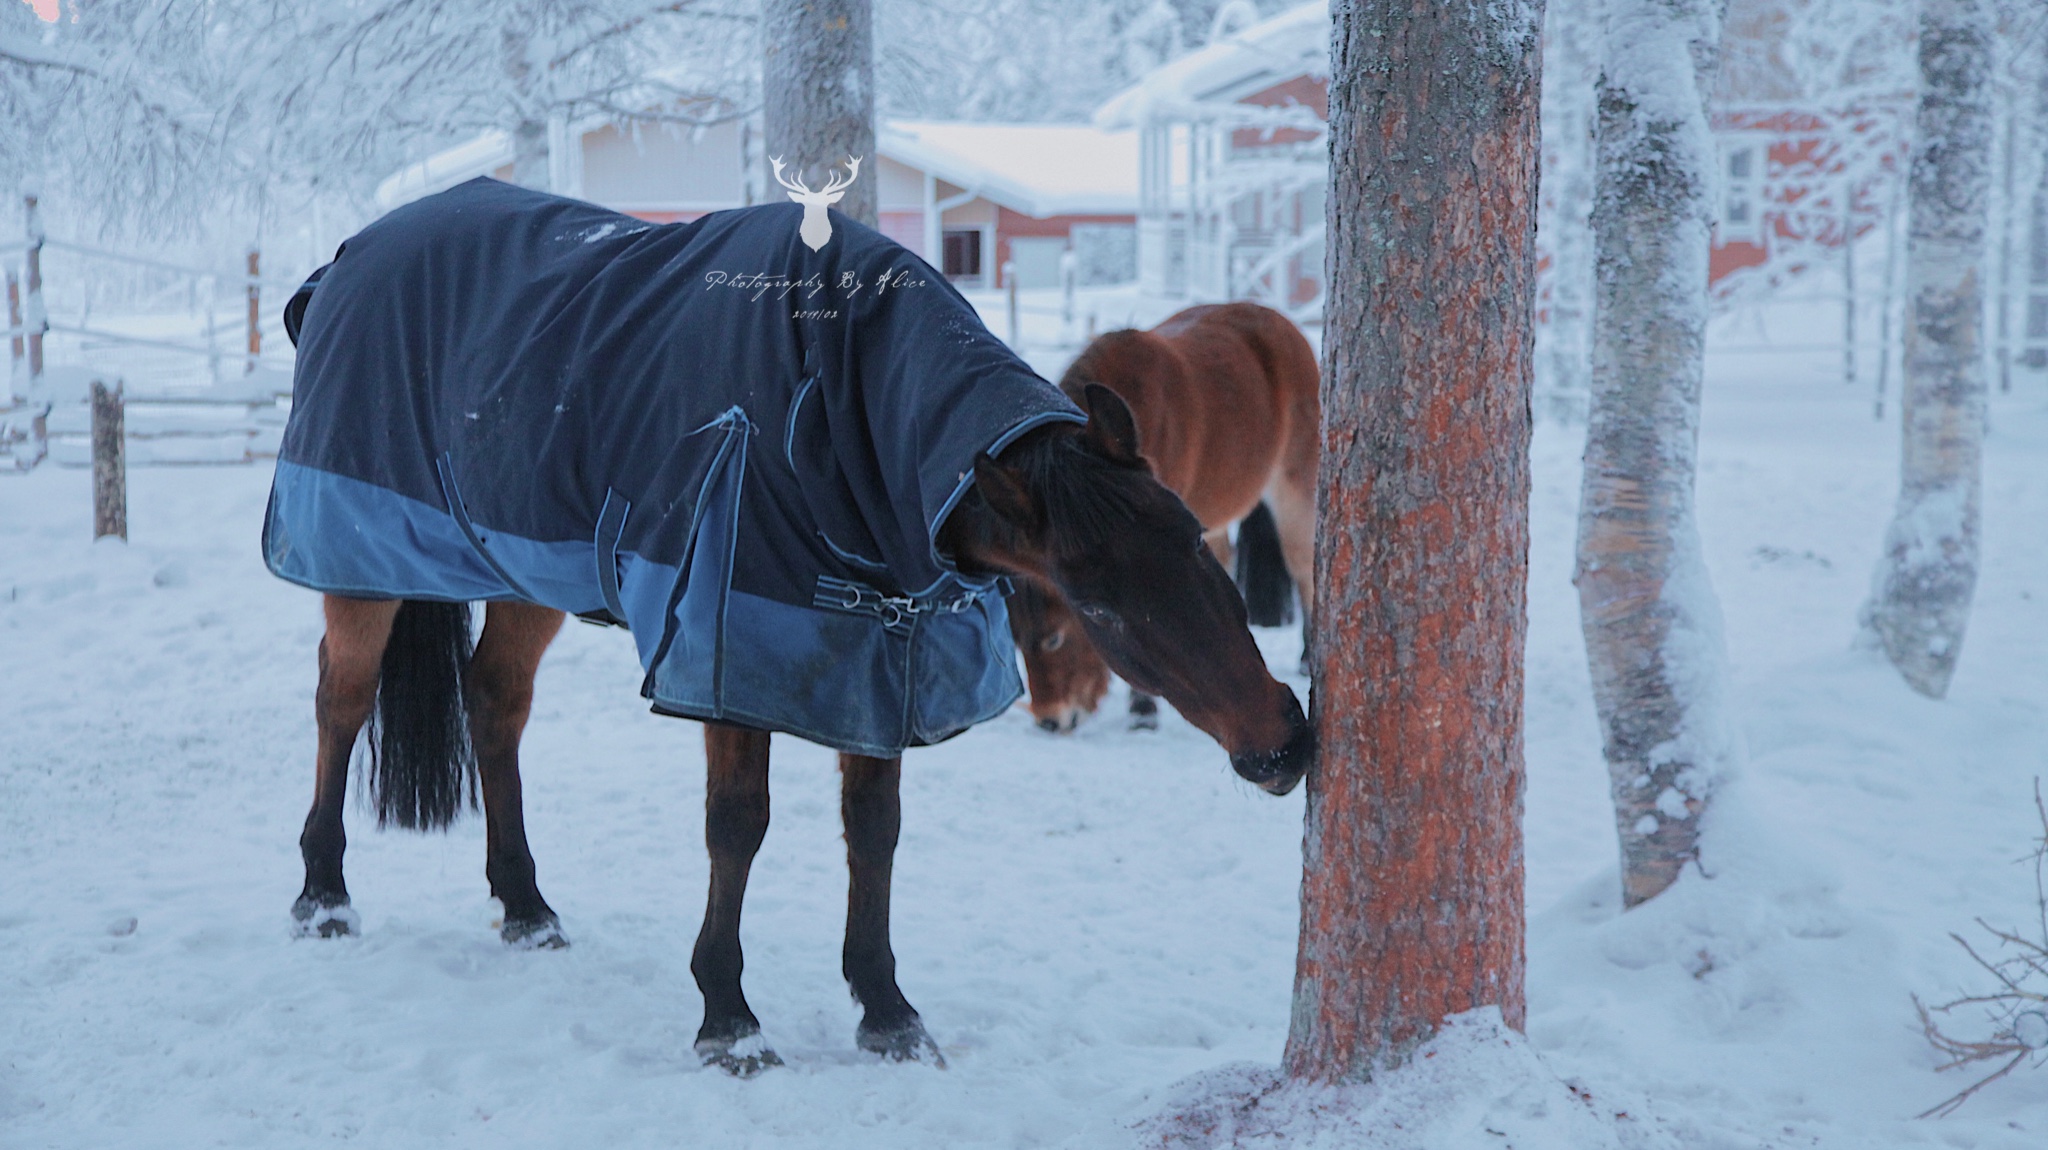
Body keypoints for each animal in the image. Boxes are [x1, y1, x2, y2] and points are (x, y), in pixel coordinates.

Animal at [290, 386, 1310, 1072]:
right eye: (1096, 604)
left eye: (1193, 535)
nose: (1283, 743)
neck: (836, 423)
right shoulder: (730, 656)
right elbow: (738, 826)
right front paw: (729, 1019)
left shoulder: (877, 655)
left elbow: (875, 832)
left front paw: (887, 1011)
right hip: (367, 559)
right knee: (341, 699)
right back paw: (325, 895)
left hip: (523, 567)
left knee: (495, 701)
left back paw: (526, 906)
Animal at [1011, 300, 1327, 728]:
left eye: (1054, 638)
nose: (1050, 721)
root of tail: (1280, 322)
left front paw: (1143, 710)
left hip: (1294, 487)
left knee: (1302, 569)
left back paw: (1306, 658)